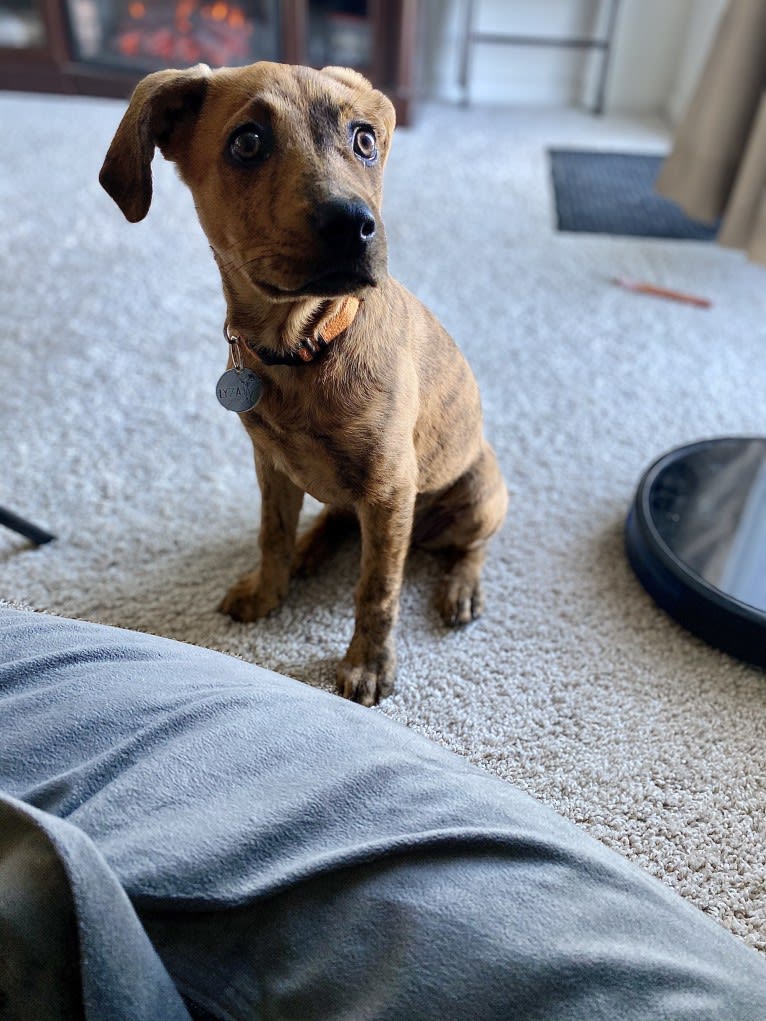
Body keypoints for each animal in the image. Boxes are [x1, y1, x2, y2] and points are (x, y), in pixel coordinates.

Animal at [102, 61, 510, 702]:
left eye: (365, 140)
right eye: (247, 142)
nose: (354, 226)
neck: (302, 347)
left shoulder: (390, 488)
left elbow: (378, 589)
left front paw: (368, 664)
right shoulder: (271, 466)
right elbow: (271, 536)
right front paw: (268, 590)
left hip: (475, 492)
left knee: (472, 544)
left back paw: (461, 585)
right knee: (336, 519)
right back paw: (310, 549)